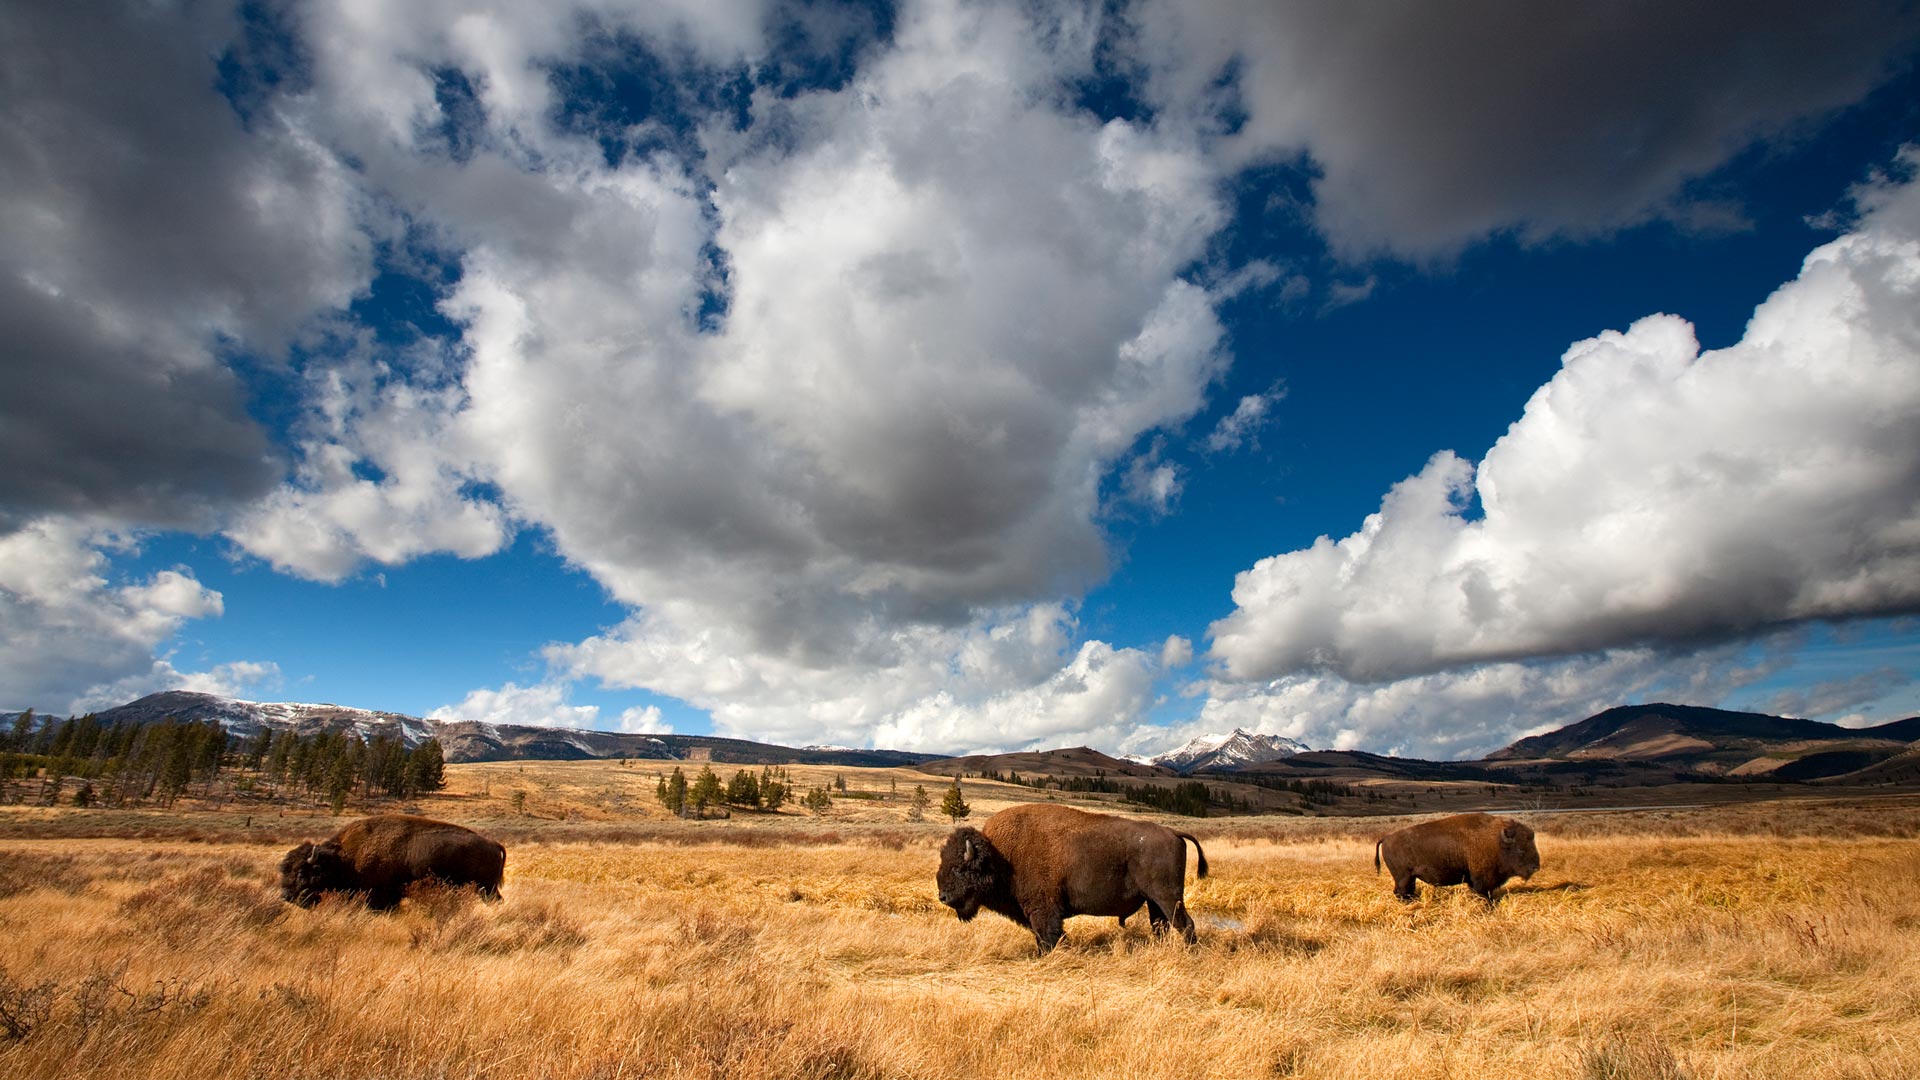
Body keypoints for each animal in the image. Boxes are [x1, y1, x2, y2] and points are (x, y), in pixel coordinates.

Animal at [936, 799, 1205, 949]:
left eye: (960, 868)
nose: (943, 897)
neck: (999, 855)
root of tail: (1172, 832)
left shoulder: (1043, 910)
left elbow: (1048, 936)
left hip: (1168, 897)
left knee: (1184, 924)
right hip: (1154, 901)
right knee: (1161, 926)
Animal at [1374, 807, 1536, 899]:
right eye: (1521, 848)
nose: (1535, 867)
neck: (1497, 841)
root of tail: (1387, 838)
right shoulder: (1481, 880)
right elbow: (1482, 893)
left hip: (1409, 878)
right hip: (1403, 877)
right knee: (1401, 892)